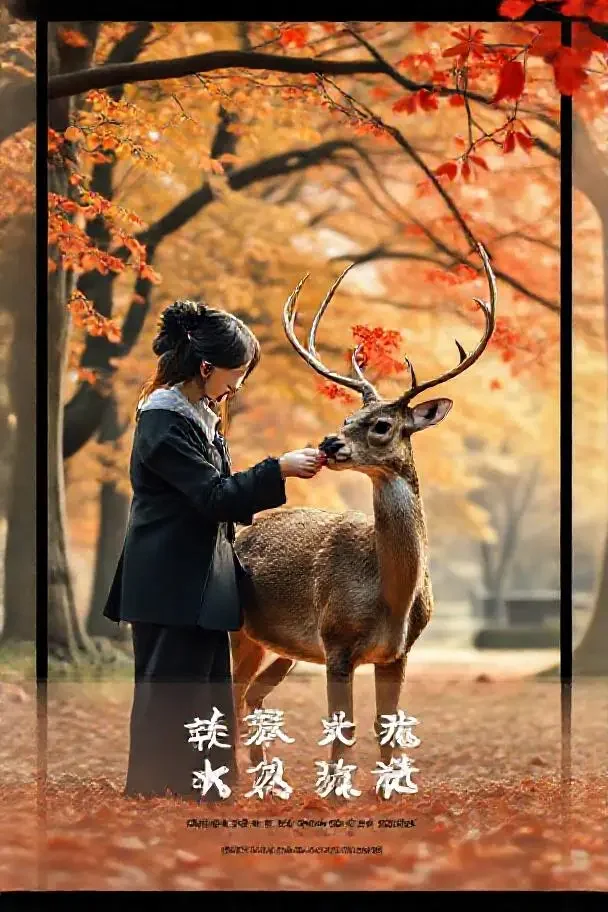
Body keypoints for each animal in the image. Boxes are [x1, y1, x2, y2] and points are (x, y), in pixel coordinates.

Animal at [231, 242, 497, 789]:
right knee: (228, 691)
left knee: (252, 695)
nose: (330, 442)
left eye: (381, 425)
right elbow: (345, 727)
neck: (390, 596)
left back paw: (263, 778)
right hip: (239, 630)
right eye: (346, 416)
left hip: (281, 646)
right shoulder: (336, 641)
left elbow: (385, 727)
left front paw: (389, 792)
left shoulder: (398, 653)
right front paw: (335, 795)